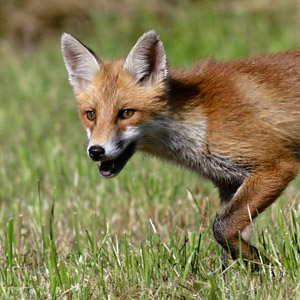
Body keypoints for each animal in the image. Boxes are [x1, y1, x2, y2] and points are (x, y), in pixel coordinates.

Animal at [61, 29, 300, 266]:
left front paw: (262, 262)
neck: (201, 119)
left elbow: (221, 227)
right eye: (91, 115)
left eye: (126, 113)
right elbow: (230, 235)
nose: (95, 151)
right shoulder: (229, 183)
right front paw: (238, 271)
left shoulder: (276, 166)